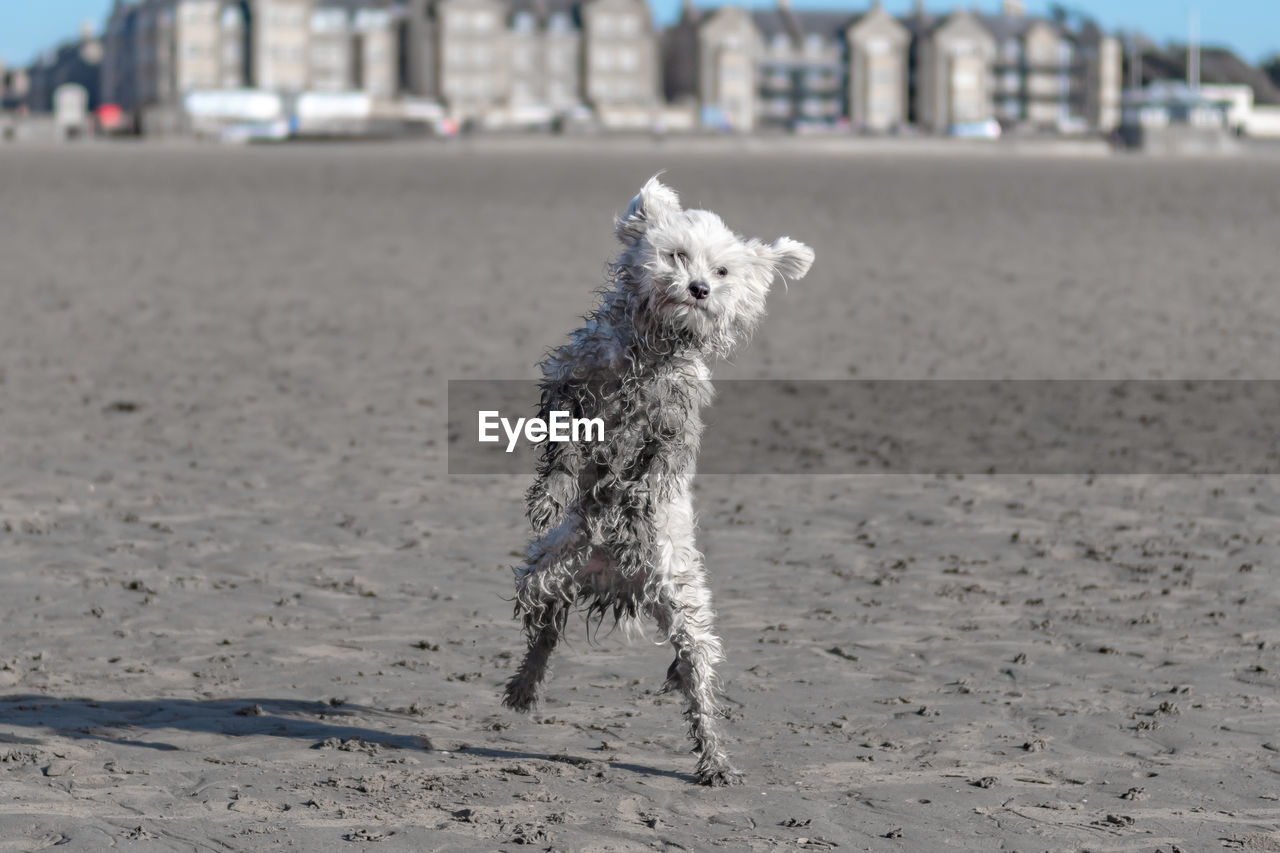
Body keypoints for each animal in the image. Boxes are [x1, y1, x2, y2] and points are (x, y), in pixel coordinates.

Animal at [504, 174, 814, 783]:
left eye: (723, 271)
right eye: (677, 255)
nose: (699, 288)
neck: (651, 350)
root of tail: (616, 580)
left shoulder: (676, 421)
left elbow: (656, 469)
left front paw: (637, 500)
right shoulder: (572, 384)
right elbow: (564, 454)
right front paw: (552, 496)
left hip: (685, 606)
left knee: (696, 680)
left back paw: (715, 760)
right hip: (549, 569)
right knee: (545, 625)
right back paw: (524, 687)